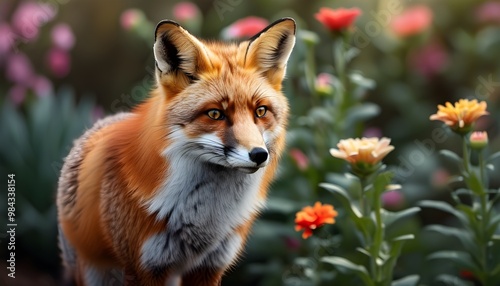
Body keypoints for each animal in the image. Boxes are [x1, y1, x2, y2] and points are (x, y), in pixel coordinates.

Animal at [56, 18, 294, 286]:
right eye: (215, 114)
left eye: (261, 111)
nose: (259, 155)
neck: (206, 220)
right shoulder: (144, 267)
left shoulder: (210, 266)